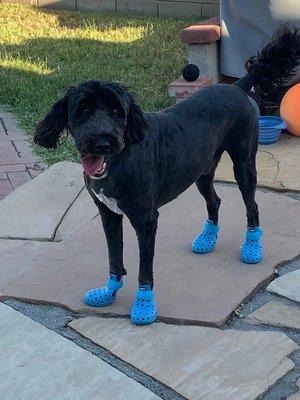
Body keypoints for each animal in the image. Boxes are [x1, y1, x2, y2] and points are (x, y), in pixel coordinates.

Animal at [34, 27, 300, 322]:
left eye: (117, 111)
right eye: (84, 110)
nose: (102, 143)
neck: (119, 160)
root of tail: (237, 85)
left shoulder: (146, 220)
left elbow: (144, 269)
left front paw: (143, 305)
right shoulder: (108, 215)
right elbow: (114, 257)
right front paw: (109, 291)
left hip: (243, 165)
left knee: (252, 205)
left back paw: (252, 247)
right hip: (202, 171)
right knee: (214, 200)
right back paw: (207, 239)